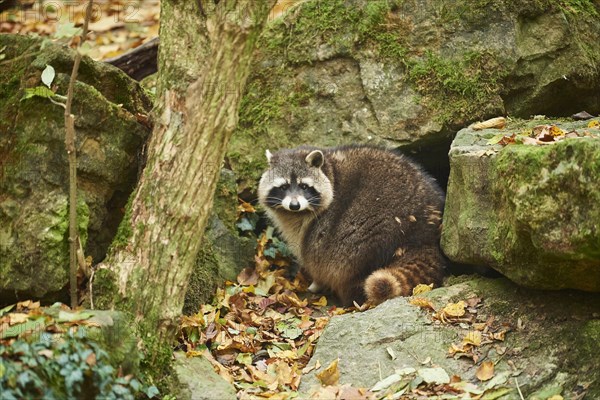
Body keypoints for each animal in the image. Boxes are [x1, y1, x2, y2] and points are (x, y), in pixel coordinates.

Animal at [258, 145, 446, 304]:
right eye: (283, 187)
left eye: (304, 186)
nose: (294, 205)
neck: (329, 171)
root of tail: (422, 236)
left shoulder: (319, 225)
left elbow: (314, 255)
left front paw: (317, 281)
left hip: (376, 230)